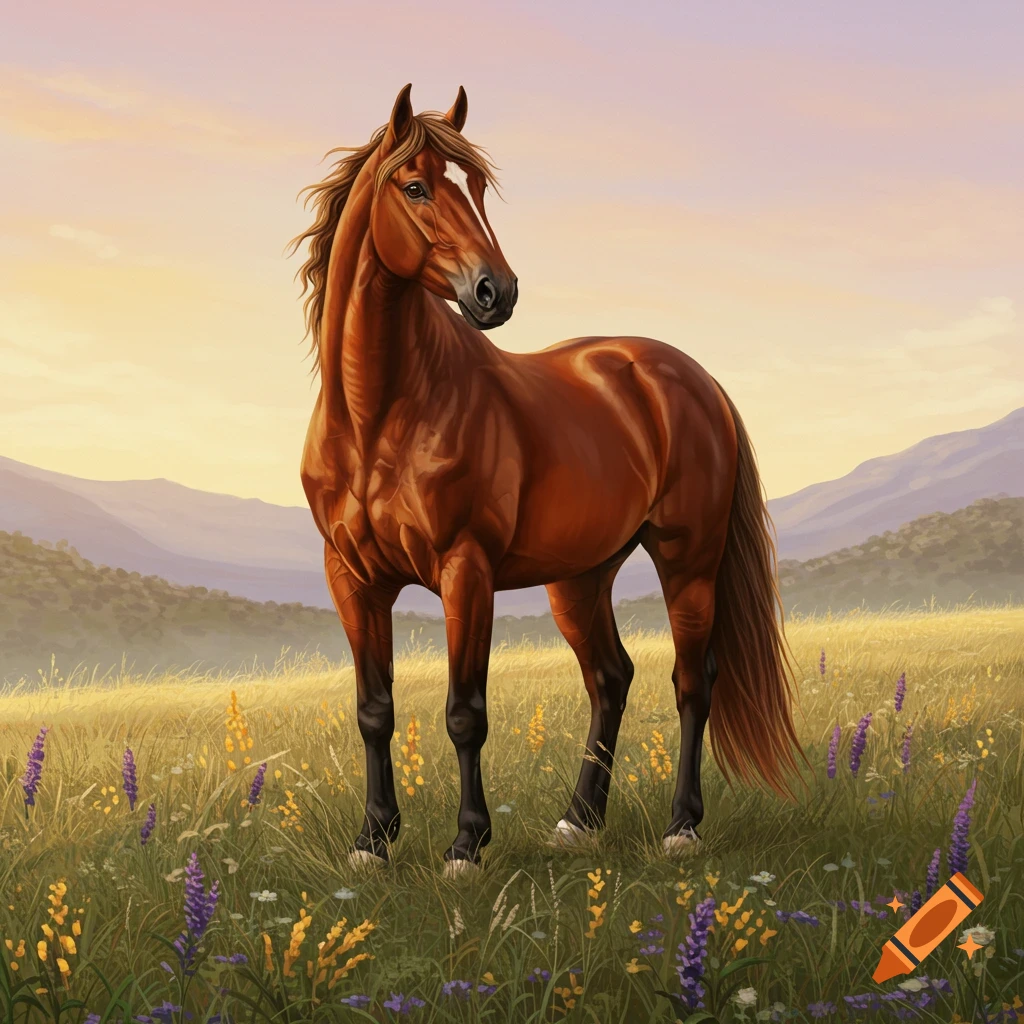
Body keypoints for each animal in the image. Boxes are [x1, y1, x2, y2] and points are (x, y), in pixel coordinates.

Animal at [289, 84, 803, 876]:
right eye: (415, 186)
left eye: (475, 187)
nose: (494, 291)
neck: (379, 416)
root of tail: (691, 376)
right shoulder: (351, 577)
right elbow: (374, 710)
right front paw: (372, 841)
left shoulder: (465, 572)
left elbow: (465, 712)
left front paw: (466, 846)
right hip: (581, 577)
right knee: (611, 678)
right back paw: (578, 822)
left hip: (688, 560)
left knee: (692, 681)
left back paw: (681, 828)